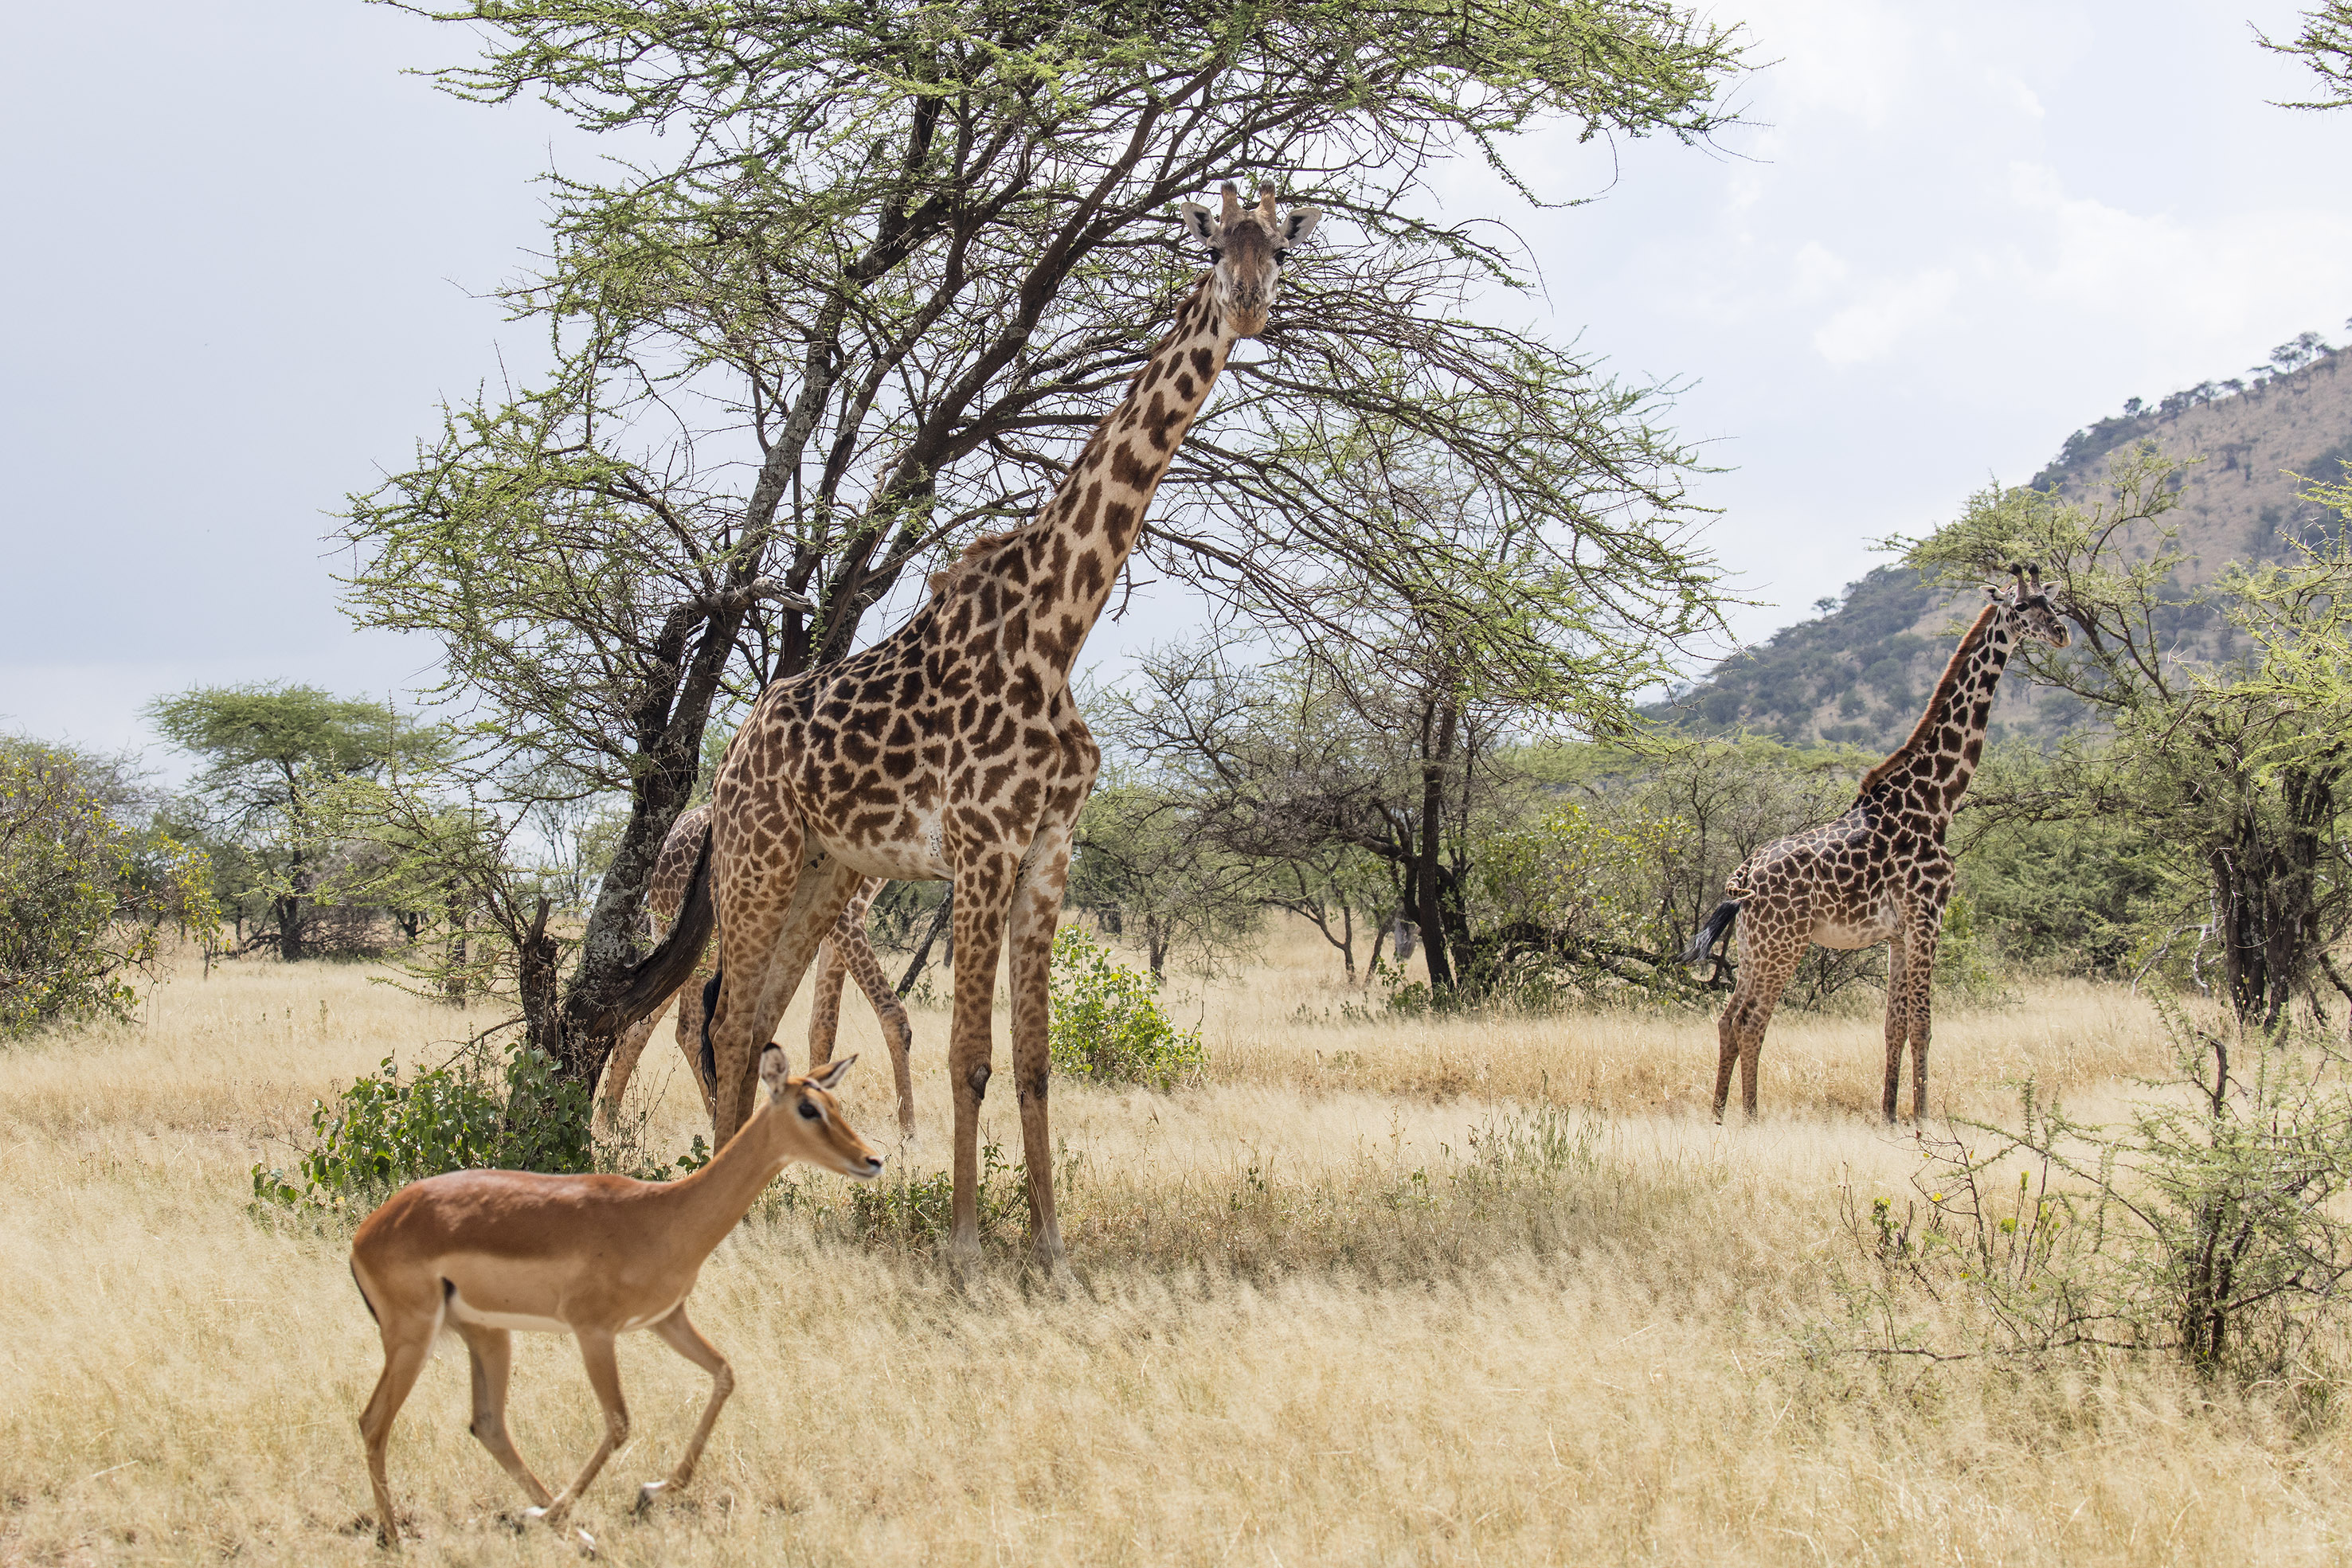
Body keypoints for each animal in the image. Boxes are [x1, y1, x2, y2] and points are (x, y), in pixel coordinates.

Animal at [597, 804, 916, 1136]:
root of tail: (661, 852)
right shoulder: (845, 914)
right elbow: (892, 1013)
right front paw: (909, 1132)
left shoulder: (842, 914)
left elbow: (823, 1027)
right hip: (701, 941)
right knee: (684, 1027)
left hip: (679, 938)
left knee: (641, 1026)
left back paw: (606, 1124)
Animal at [685, 182, 1319, 1265]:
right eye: (1209, 245)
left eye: (1279, 246)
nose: (1245, 303)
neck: (1059, 627)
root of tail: (732, 748)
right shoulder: (983, 846)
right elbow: (969, 1055)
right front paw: (967, 1246)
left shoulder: (1051, 847)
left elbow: (1034, 1061)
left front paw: (1052, 1247)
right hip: (757, 854)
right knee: (725, 1023)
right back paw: (728, 1220)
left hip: (824, 869)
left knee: (753, 1014)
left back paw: (753, 1204)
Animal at [1684, 567, 2071, 1124]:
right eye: (2021, 608)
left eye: (2050, 602)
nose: (2061, 633)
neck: (1936, 800)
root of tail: (1742, 878)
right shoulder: (1927, 918)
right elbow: (1923, 1025)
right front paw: (1923, 1118)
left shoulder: (1897, 934)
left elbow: (1894, 1025)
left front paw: (1889, 1113)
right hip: (1785, 944)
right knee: (1752, 1020)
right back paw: (1752, 1116)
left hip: (1756, 946)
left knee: (1728, 1018)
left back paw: (1719, 1114)